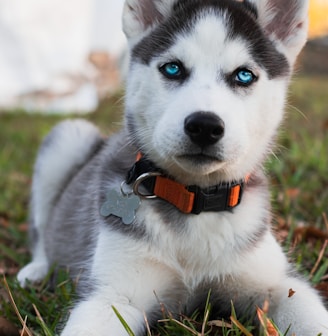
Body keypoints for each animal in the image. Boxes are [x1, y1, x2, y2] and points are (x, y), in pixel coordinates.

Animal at [18, 0, 328, 334]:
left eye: (244, 76)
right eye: (172, 68)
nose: (204, 126)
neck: (193, 200)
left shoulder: (280, 283)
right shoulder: (111, 294)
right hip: (70, 136)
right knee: (41, 231)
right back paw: (36, 270)